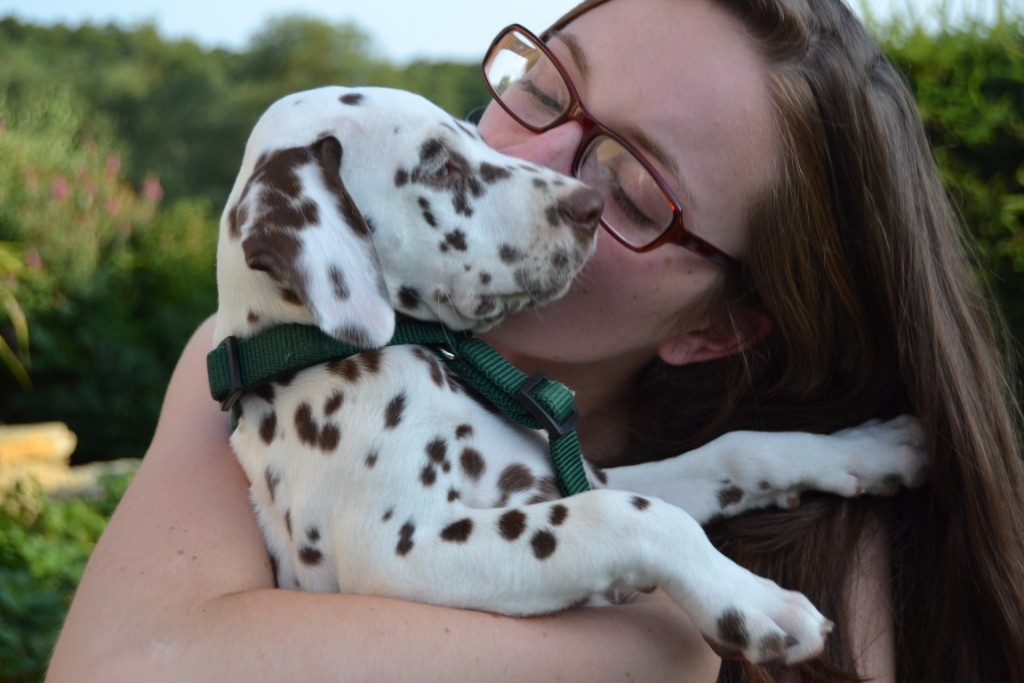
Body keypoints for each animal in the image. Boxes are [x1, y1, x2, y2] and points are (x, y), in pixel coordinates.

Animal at [211, 87, 925, 667]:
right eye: (439, 165)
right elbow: (634, 517)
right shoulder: (403, 549)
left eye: (476, 134)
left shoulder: (577, 472)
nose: (592, 206)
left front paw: (868, 449)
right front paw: (752, 602)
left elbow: (732, 453)